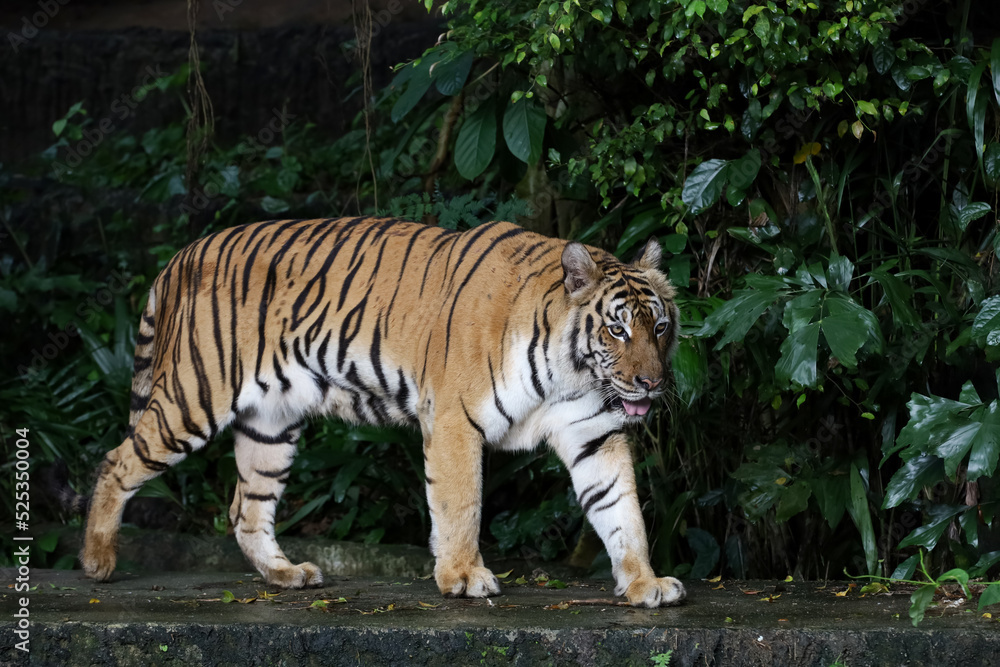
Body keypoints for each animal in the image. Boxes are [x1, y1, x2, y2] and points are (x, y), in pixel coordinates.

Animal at [82, 217, 684, 608]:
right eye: (617, 329)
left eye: (658, 327)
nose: (651, 384)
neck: (571, 370)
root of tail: (183, 254)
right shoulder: (455, 420)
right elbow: (461, 505)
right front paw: (463, 576)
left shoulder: (594, 433)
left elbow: (622, 512)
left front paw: (645, 583)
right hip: (194, 396)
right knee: (115, 460)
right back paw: (97, 562)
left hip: (271, 425)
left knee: (246, 508)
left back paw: (286, 574)